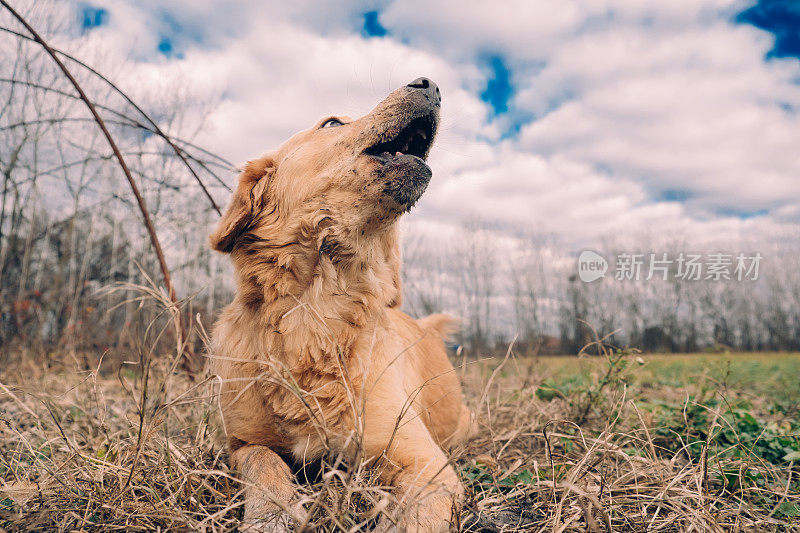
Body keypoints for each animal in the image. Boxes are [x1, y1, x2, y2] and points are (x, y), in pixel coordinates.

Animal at [212, 79, 476, 532]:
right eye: (333, 123)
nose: (431, 84)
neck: (315, 312)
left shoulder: (425, 464)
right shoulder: (242, 442)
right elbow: (264, 463)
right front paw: (270, 515)